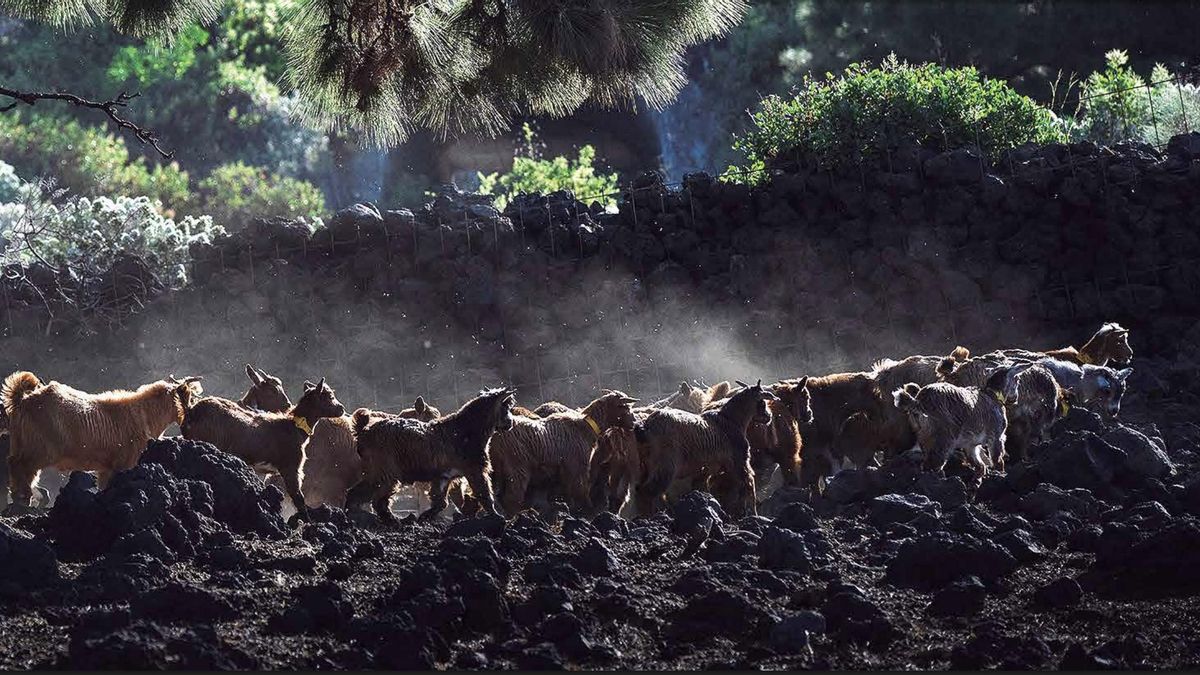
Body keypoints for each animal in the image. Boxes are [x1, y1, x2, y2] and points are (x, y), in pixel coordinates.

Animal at [2, 371, 201, 507]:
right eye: (189, 397)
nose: (190, 419)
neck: (145, 414)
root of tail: (22, 400)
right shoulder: (124, 464)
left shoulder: (107, 468)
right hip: (39, 450)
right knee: (20, 467)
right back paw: (23, 499)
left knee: (17, 467)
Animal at [181, 377, 345, 522]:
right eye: (330, 396)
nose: (341, 409)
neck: (294, 428)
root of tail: (191, 412)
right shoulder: (291, 467)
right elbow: (298, 497)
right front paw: (307, 522)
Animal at [348, 387, 516, 523]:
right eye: (506, 407)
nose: (511, 423)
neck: (466, 428)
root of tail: (364, 431)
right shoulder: (475, 470)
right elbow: (485, 495)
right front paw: (496, 516)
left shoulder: (443, 476)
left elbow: (440, 502)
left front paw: (425, 516)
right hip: (385, 473)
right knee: (371, 498)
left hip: (378, 473)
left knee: (366, 496)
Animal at [488, 390, 638, 516]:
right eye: (625, 407)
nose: (634, 423)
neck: (586, 427)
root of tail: (494, 436)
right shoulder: (577, 468)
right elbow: (580, 492)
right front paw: (587, 512)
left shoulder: (565, 473)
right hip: (517, 467)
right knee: (511, 498)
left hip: (496, 470)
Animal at [633, 380, 777, 518]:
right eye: (762, 402)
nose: (768, 416)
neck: (730, 419)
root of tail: (646, 427)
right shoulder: (740, 462)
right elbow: (749, 484)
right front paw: (751, 512)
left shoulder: (705, 471)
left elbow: (702, 488)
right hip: (665, 465)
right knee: (647, 491)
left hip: (645, 467)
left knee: (640, 490)